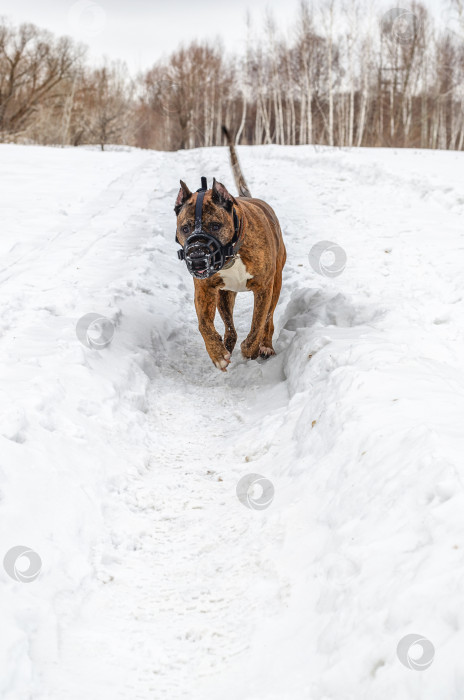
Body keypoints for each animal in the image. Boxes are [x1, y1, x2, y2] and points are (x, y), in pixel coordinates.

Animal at [175, 129, 286, 374]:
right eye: (185, 228)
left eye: (216, 225)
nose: (197, 257)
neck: (231, 254)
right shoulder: (205, 290)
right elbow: (204, 324)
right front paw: (217, 353)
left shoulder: (264, 288)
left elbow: (258, 322)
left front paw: (250, 348)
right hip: (224, 295)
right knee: (229, 326)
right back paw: (226, 344)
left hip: (276, 283)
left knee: (269, 319)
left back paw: (265, 345)